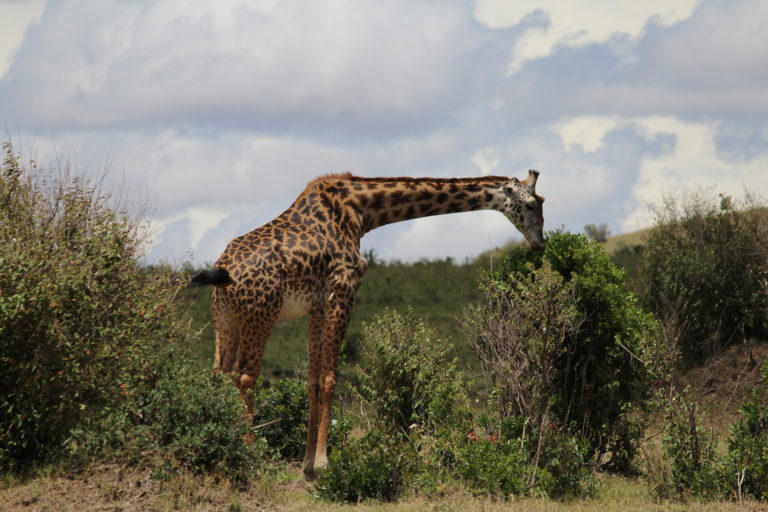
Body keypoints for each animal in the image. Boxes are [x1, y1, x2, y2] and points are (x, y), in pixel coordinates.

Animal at [189, 170, 544, 478]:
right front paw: (324, 463)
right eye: (532, 204)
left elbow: (312, 381)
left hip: (225, 317)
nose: (540, 241)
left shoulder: (317, 305)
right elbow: (330, 379)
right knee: (246, 377)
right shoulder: (344, 291)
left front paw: (307, 464)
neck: (361, 212)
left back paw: (215, 446)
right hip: (261, 312)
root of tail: (223, 270)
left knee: (219, 376)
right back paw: (247, 453)